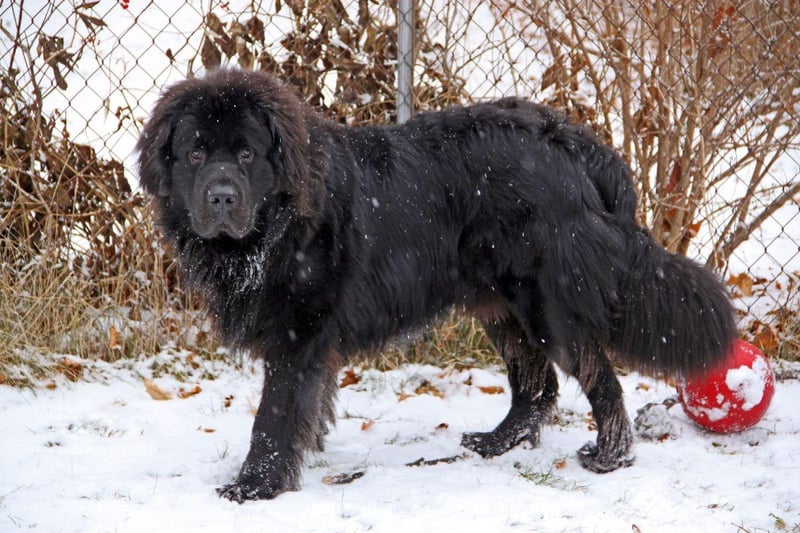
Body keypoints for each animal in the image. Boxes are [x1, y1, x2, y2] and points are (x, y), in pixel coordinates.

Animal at [134, 68, 736, 500]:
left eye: (245, 154)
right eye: (194, 153)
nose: (221, 197)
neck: (277, 225)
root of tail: (574, 143)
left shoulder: (297, 332)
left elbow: (273, 414)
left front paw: (255, 485)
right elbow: (310, 402)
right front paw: (310, 448)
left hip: (546, 303)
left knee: (598, 379)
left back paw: (610, 457)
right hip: (500, 304)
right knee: (536, 386)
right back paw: (498, 444)